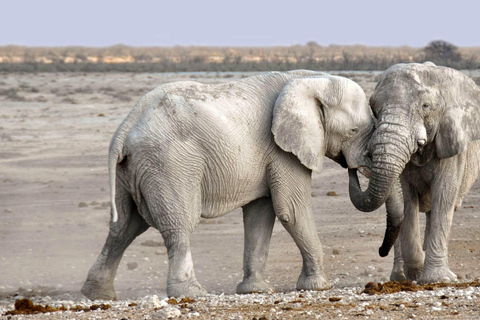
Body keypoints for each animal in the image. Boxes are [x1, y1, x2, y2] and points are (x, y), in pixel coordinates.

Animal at [81, 70, 376, 300]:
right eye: (353, 131)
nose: (353, 168)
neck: (312, 80)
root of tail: (125, 127)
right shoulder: (282, 150)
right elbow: (291, 210)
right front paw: (319, 286)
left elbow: (260, 214)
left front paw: (255, 291)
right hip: (168, 163)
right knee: (178, 224)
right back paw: (192, 293)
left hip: (132, 170)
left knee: (124, 226)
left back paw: (98, 294)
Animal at [348, 62, 480, 282]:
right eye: (373, 107)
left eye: (425, 106)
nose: (380, 251)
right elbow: (407, 200)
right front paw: (417, 272)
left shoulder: (450, 143)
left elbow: (443, 196)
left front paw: (437, 279)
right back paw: (400, 277)